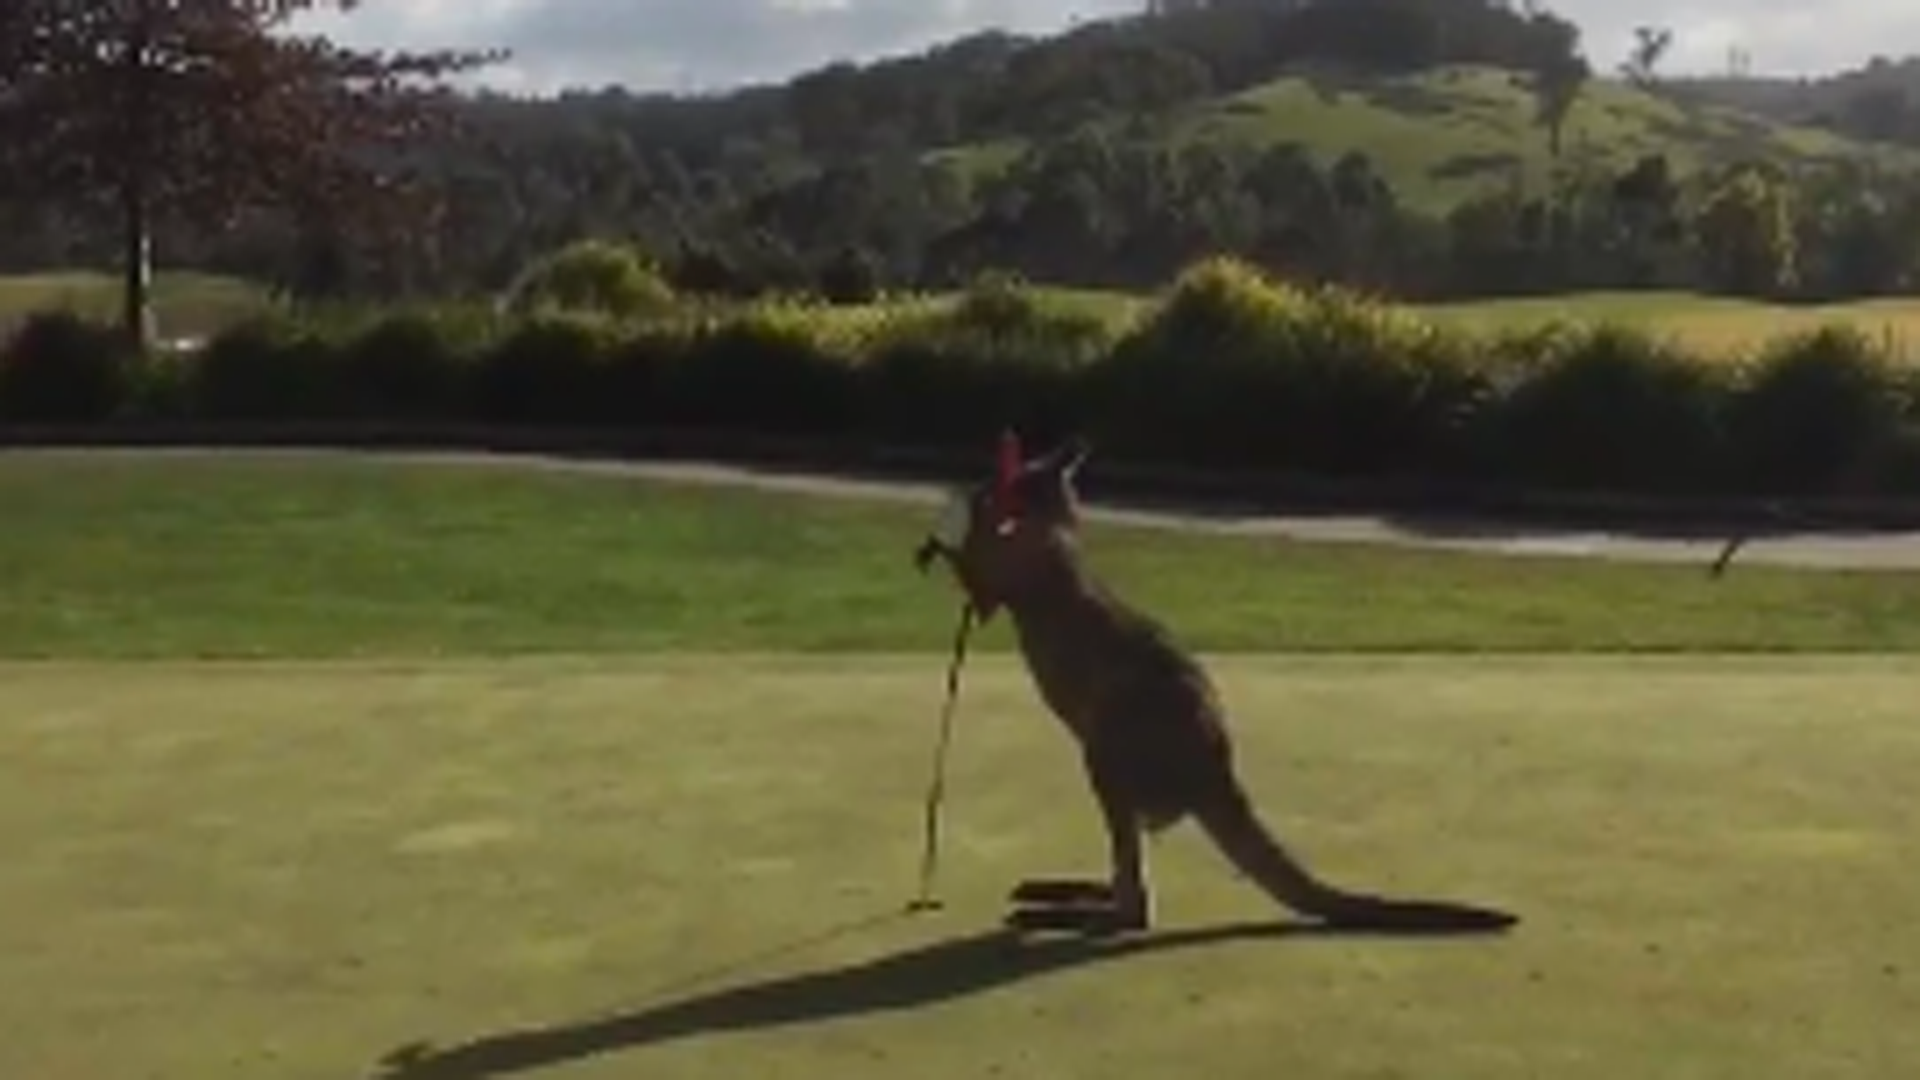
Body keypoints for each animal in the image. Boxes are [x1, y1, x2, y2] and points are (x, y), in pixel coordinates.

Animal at [913, 433, 1519, 936]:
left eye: (1006, 481)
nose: (979, 488)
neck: (1052, 526)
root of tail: (1214, 775)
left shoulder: (1016, 573)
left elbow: (984, 579)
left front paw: (948, 541)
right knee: (1127, 871)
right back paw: (1062, 893)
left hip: (1111, 747)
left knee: (1136, 903)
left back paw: (1067, 914)